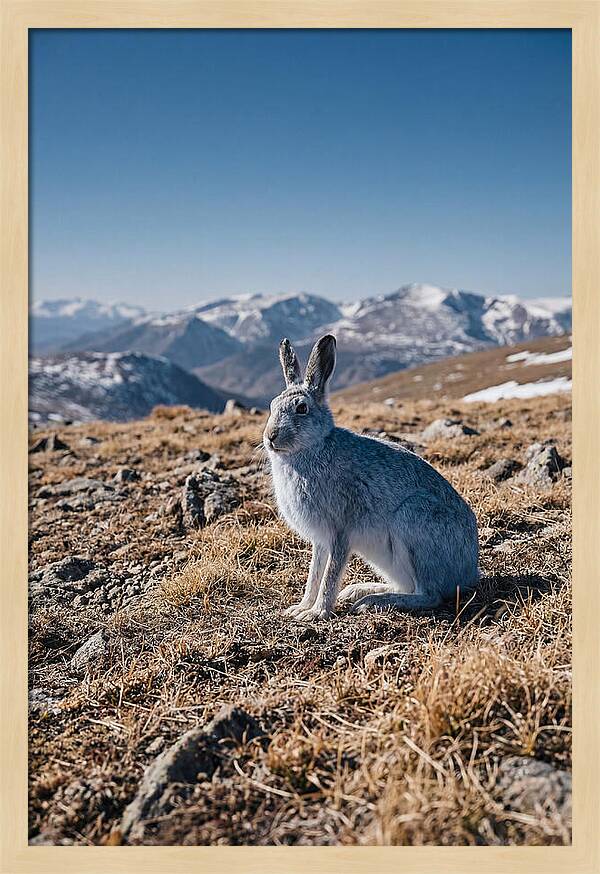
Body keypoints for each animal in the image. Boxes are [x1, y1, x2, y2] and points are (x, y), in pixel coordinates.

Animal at [263, 334, 479, 621]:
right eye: (272, 405)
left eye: (301, 408)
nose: (271, 436)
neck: (312, 448)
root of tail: (470, 572)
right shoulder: (321, 540)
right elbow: (314, 573)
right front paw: (301, 608)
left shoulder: (340, 530)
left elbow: (330, 574)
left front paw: (317, 612)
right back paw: (359, 591)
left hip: (414, 522)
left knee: (428, 594)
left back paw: (373, 601)